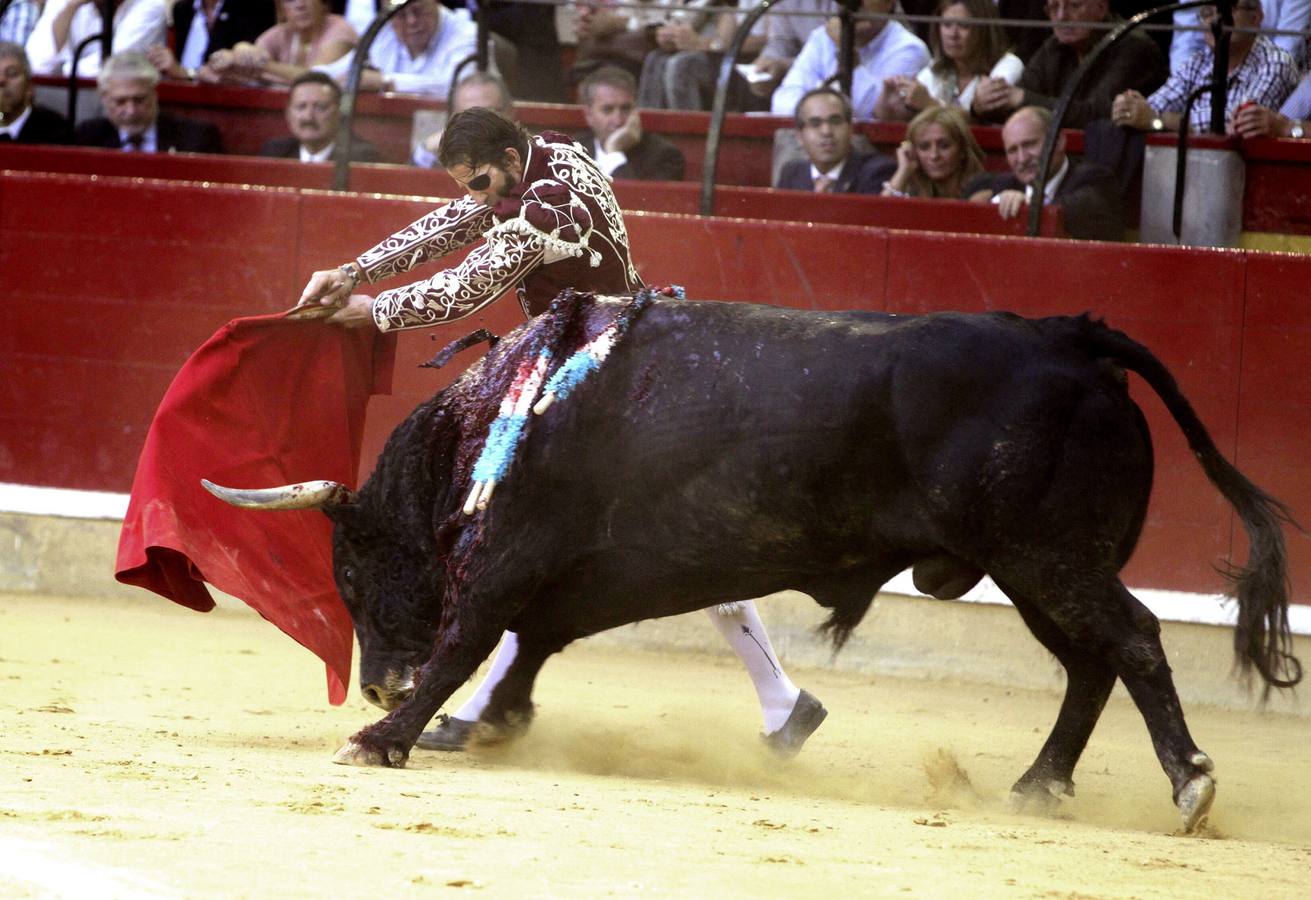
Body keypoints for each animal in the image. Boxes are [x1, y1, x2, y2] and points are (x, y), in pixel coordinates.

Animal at [204, 293, 1300, 834]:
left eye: (352, 575)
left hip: (1046, 555)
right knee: (1089, 664)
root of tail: (1076, 340)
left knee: (1133, 640)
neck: (508, 412)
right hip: (1031, 567)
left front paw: (385, 736)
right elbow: (536, 639)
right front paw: (488, 722)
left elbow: (472, 634)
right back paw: (1039, 785)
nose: (374, 680)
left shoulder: (508, 552)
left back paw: (1188, 785)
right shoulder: (587, 570)